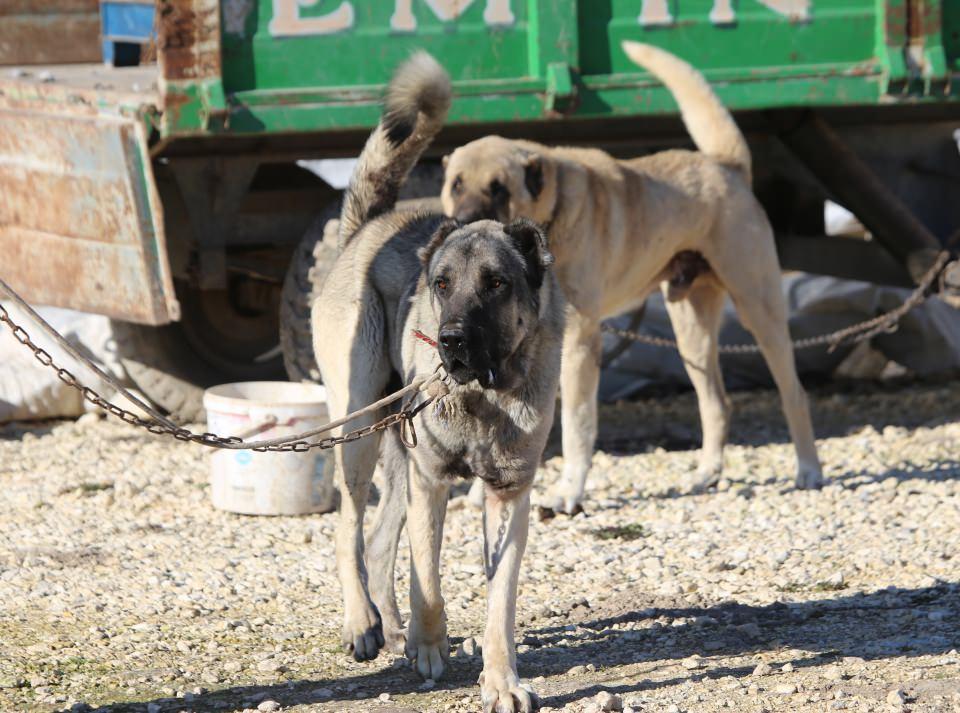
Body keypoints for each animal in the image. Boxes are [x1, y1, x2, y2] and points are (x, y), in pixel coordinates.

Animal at [312, 52, 568, 708]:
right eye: (443, 284)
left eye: (496, 283)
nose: (449, 340)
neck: (484, 392)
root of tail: (369, 227)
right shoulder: (431, 482)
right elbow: (426, 571)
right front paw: (429, 644)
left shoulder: (508, 495)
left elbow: (499, 600)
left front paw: (501, 679)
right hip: (359, 433)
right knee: (350, 529)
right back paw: (364, 623)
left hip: (397, 451)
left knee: (380, 544)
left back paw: (389, 624)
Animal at [442, 40, 824, 512]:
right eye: (457, 184)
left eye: (499, 188)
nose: (463, 224)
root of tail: (726, 166)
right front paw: (482, 492)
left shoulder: (579, 344)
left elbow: (577, 425)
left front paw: (569, 492)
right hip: (690, 332)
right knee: (717, 403)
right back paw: (707, 473)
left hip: (760, 311)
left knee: (794, 394)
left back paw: (809, 469)